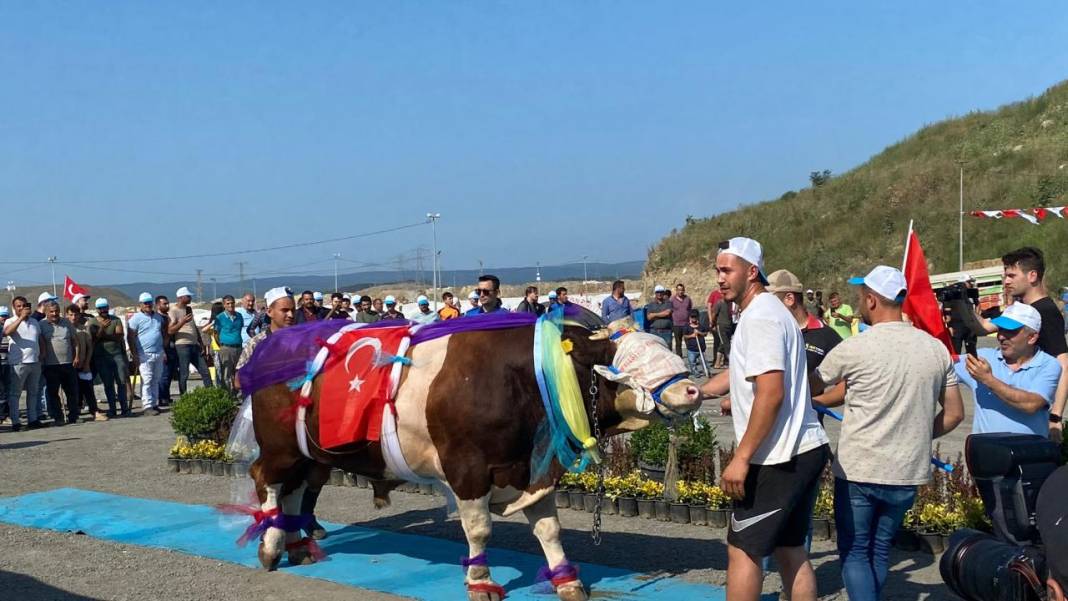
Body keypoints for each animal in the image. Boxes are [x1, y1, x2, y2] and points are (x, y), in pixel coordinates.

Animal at [245, 315, 704, 601]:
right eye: (629, 359)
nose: (693, 390)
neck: (531, 377)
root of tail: (273, 341)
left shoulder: (533, 468)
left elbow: (550, 530)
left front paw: (567, 580)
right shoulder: (468, 469)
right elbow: (480, 530)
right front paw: (480, 581)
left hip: (310, 455)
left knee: (294, 491)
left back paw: (295, 547)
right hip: (281, 449)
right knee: (267, 482)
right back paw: (269, 548)